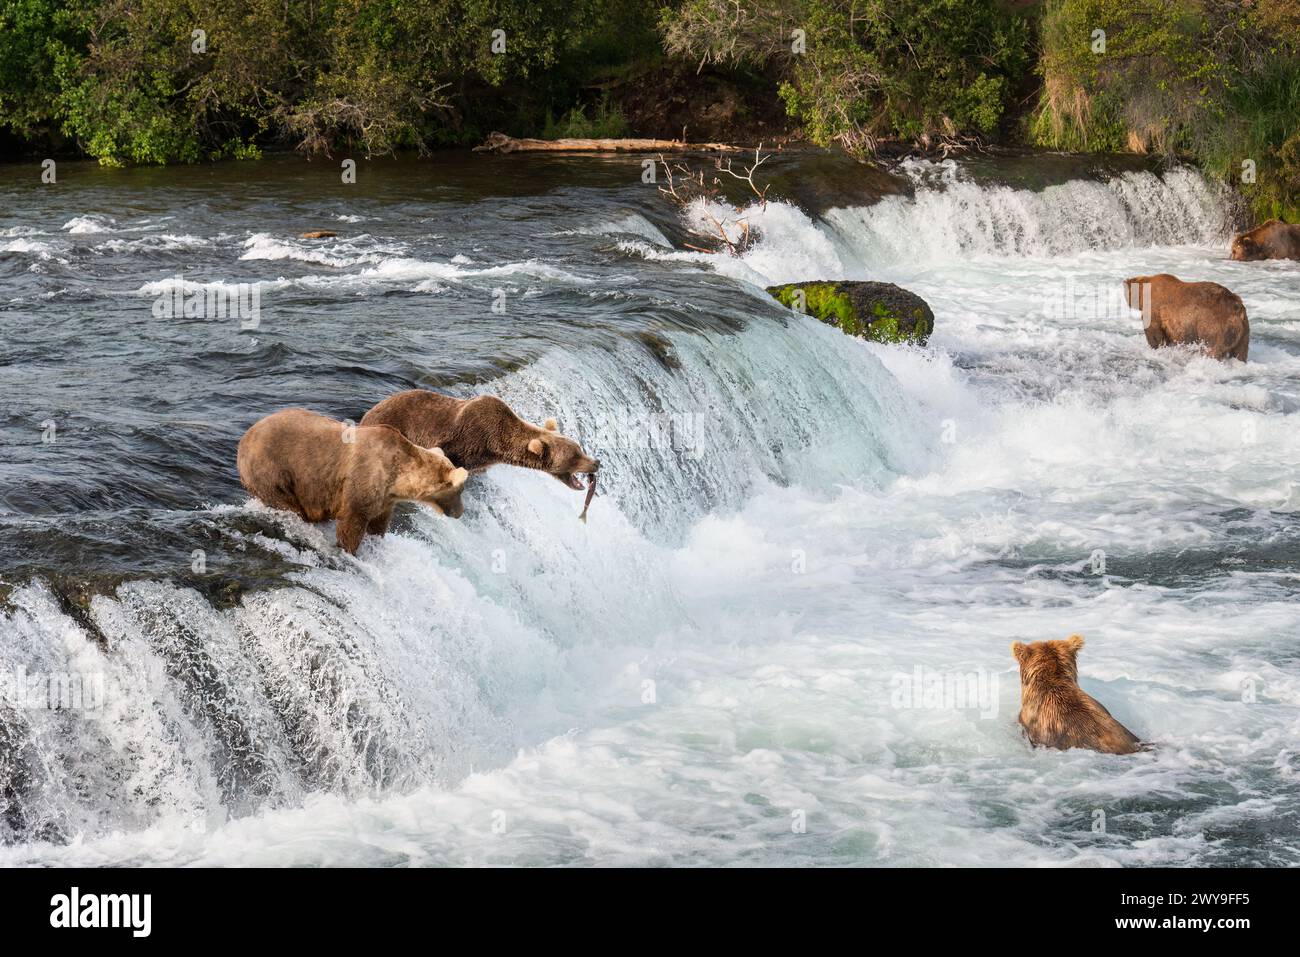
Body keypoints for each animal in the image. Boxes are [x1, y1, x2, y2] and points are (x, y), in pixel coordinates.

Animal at [364, 390, 600, 520]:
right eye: (575, 456)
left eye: (579, 448)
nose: (596, 462)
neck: (494, 443)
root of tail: (368, 413)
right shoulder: (461, 438)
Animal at [1118, 274, 1248, 361]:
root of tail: (1237, 307)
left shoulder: (1155, 310)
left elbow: (1154, 334)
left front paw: (1156, 348)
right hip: (1243, 332)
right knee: (1241, 353)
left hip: (1215, 325)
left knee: (1212, 348)